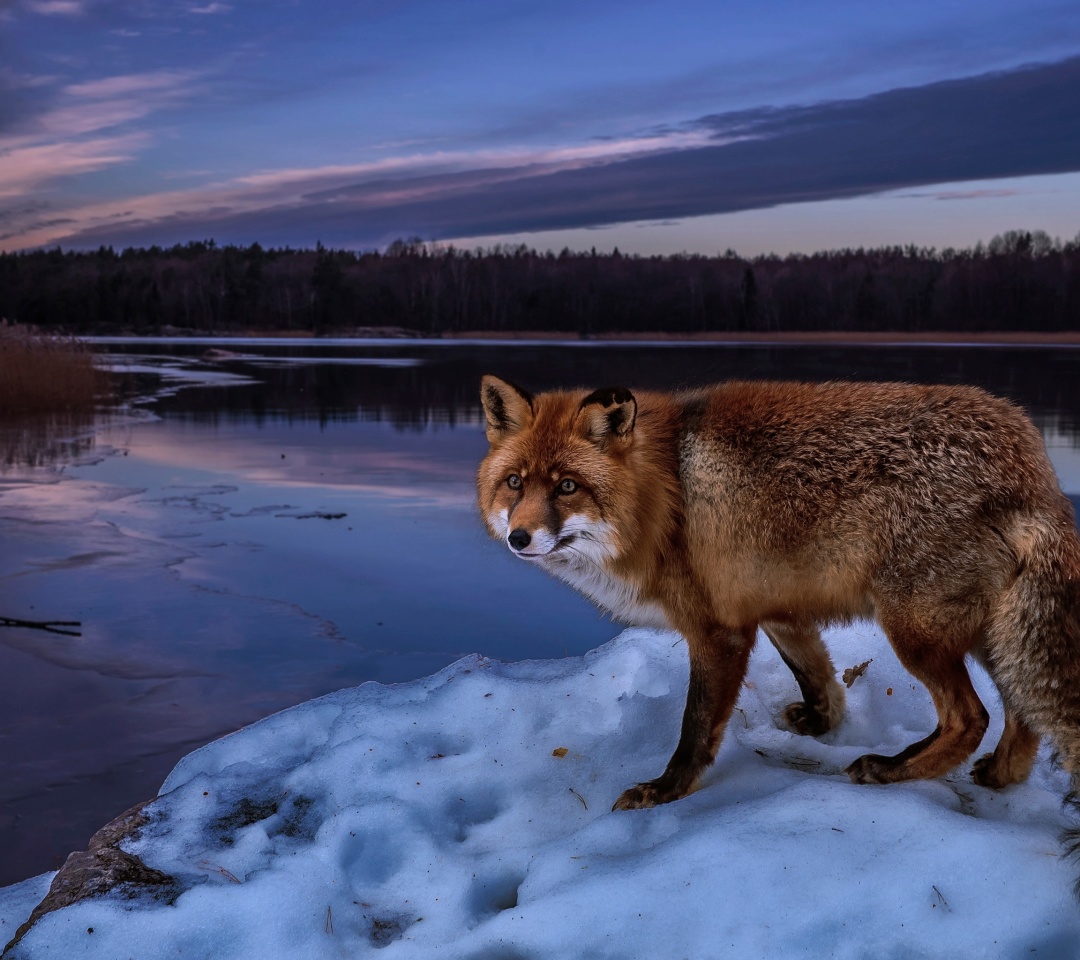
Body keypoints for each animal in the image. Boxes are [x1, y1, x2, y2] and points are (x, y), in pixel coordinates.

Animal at [477, 371, 1080, 820]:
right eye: (515, 483)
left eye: (567, 487)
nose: (518, 538)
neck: (666, 497)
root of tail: (1031, 465)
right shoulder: (775, 608)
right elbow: (817, 676)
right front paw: (822, 723)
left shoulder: (717, 631)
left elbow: (696, 728)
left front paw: (666, 791)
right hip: (988, 632)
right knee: (1023, 714)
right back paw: (999, 775)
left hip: (917, 633)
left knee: (971, 718)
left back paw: (892, 770)